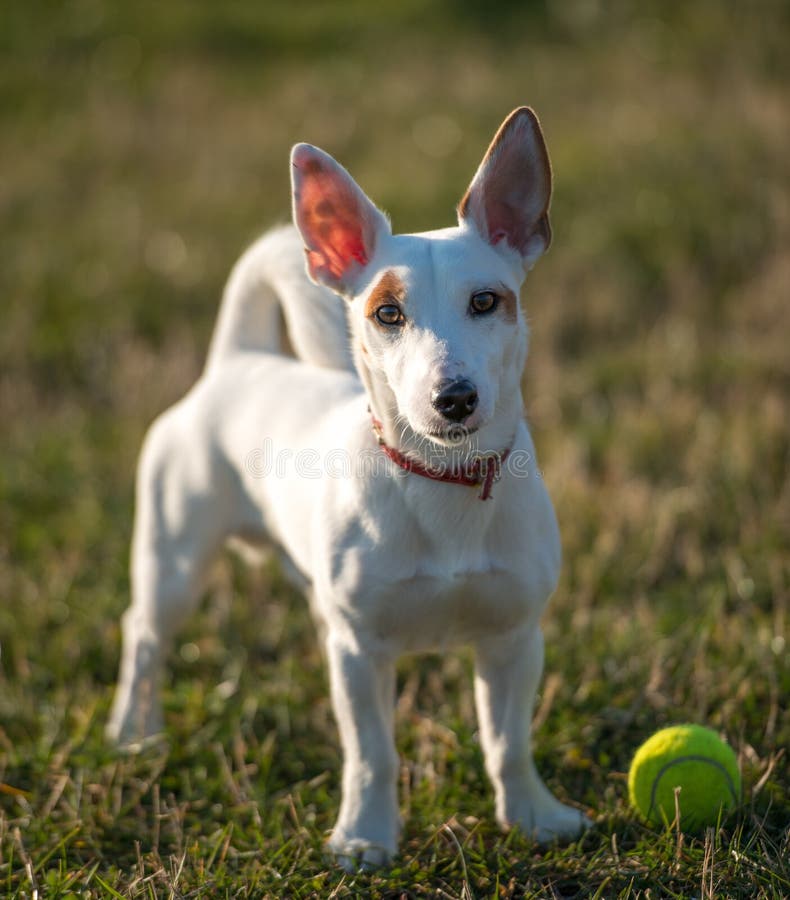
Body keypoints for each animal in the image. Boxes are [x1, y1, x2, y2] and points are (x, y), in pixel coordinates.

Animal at [106, 109, 588, 868]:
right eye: (387, 314)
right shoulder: (360, 652)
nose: (453, 398)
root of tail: (235, 360)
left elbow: (508, 742)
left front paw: (534, 818)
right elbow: (372, 755)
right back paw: (133, 730)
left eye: (487, 301)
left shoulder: (514, 637)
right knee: (145, 633)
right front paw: (365, 837)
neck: (442, 481)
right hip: (173, 559)